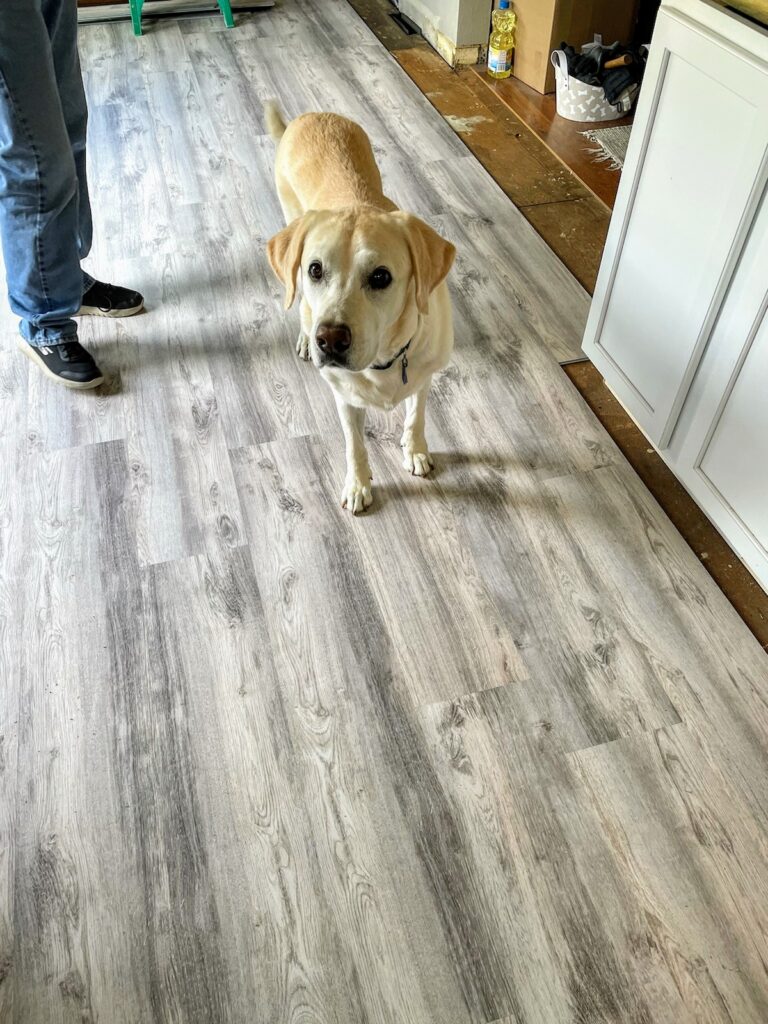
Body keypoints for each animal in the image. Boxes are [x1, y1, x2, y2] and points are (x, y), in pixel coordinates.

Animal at [266, 101, 456, 512]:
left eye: (381, 277)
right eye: (316, 269)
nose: (329, 341)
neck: (384, 360)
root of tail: (308, 116)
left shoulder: (424, 375)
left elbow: (416, 415)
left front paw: (415, 450)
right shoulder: (345, 397)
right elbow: (355, 446)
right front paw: (357, 486)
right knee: (297, 301)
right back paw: (304, 335)